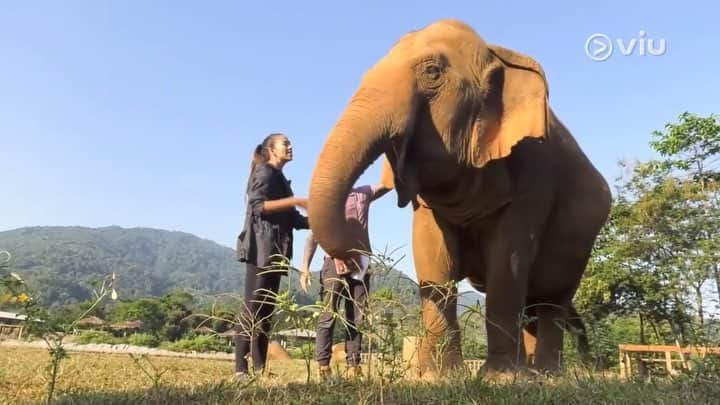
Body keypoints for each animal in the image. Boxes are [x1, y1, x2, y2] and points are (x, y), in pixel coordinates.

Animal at [306, 17, 612, 374]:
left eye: (432, 71)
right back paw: (535, 371)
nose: (351, 261)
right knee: (533, 306)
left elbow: (507, 261)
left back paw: (546, 374)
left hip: (578, 246)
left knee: (551, 301)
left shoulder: (535, 176)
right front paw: (436, 376)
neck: (497, 53)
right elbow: (432, 256)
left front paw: (500, 378)